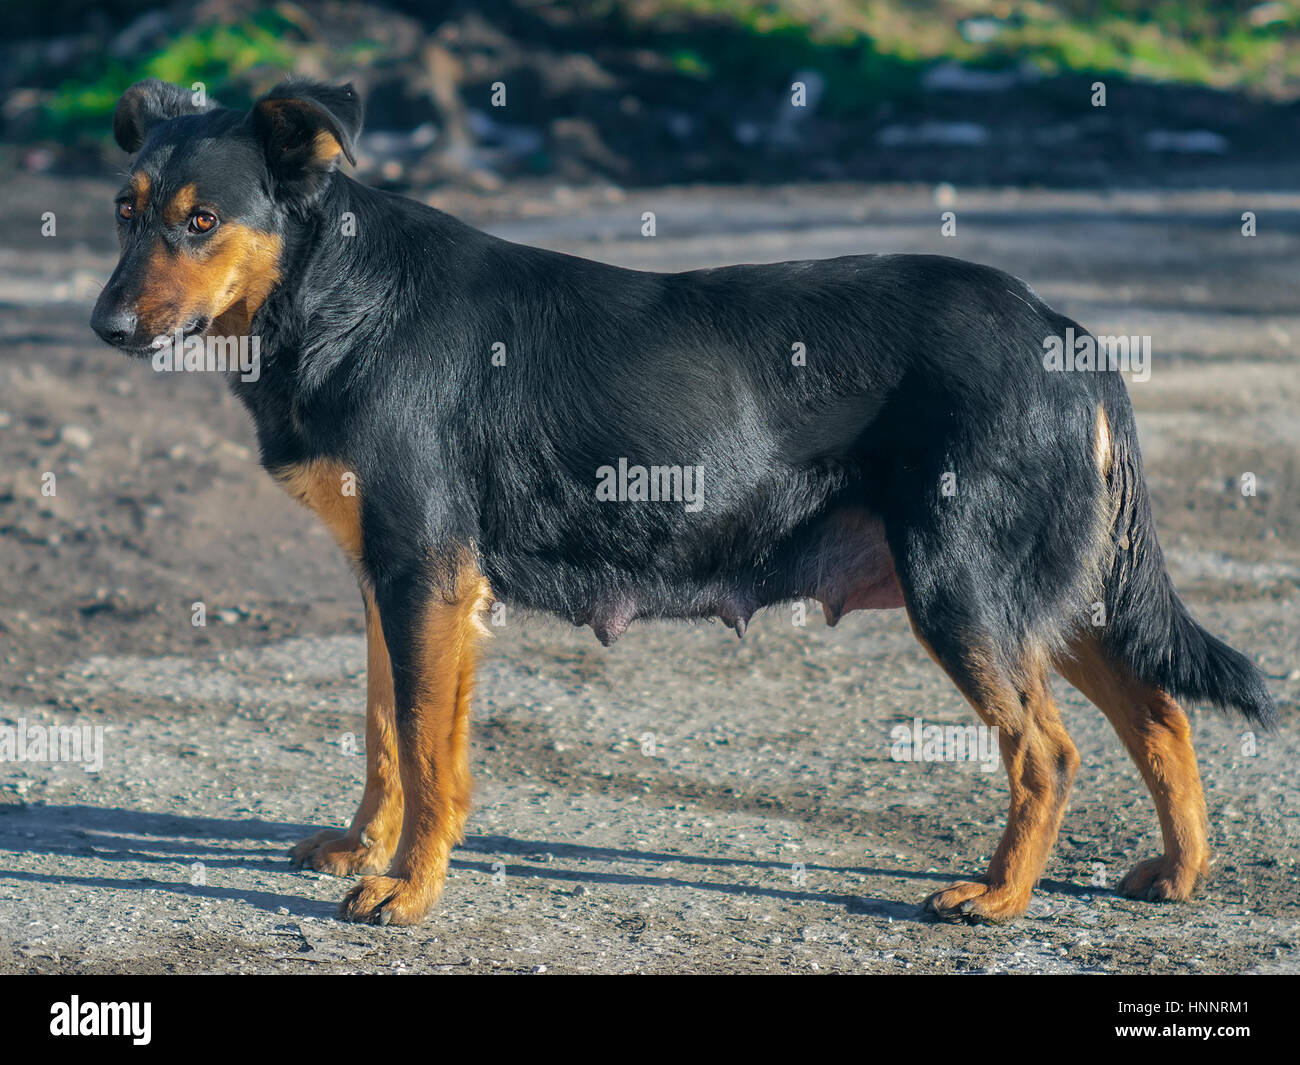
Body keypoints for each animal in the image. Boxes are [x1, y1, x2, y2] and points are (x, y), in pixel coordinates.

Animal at [89, 78, 1268, 925]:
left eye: (203, 220)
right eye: (125, 213)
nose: (104, 329)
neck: (338, 295)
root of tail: (1064, 330)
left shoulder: (426, 576)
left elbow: (426, 756)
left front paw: (410, 890)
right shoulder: (391, 580)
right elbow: (385, 732)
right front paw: (366, 848)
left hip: (964, 589)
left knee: (1047, 751)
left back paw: (1000, 896)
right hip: (1046, 593)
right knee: (1158, 714)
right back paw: (1180, 872)